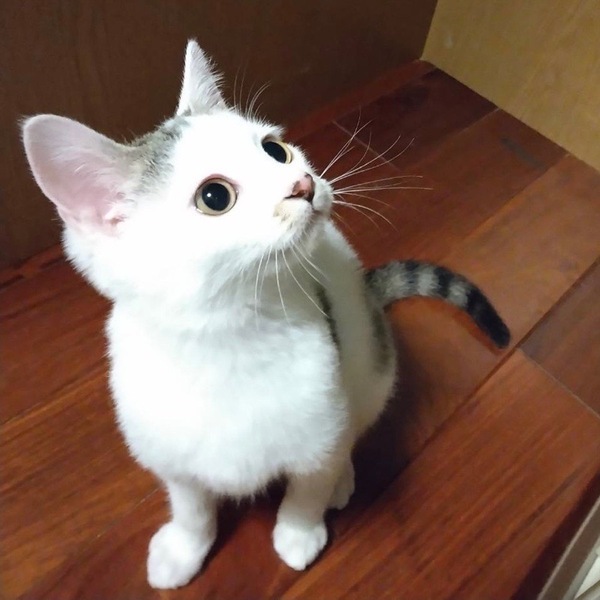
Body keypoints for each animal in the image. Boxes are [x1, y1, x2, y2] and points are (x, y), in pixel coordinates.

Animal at [22, 40, 509, 589]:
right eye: (214, 196)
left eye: (275, 149)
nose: (303, 182)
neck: (229, 338)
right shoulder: (169, 449)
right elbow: (191, 504)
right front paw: (184, 548)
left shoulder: (322, 419)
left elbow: (310, 482)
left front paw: (299, 533)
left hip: (370, 365)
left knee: (357, 422)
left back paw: (344, 478)